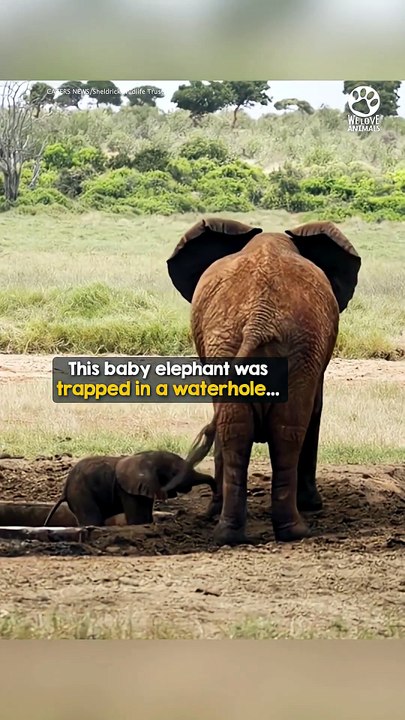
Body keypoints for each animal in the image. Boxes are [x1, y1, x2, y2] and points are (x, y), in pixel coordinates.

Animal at [43, 450, 215, 527]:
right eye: (174, 473)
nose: (214, 488)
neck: (148, 457)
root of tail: (64, 489)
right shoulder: (127, 489)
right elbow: (138, 520)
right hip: (80, 493)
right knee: (93, 519)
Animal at [163, 217, 361, 546]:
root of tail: (260, 317)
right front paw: (314, 506)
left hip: (254, 346)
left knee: (242, 429)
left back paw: (233, 533)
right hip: (282, 349)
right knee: (281, 431)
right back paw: (289, 530)